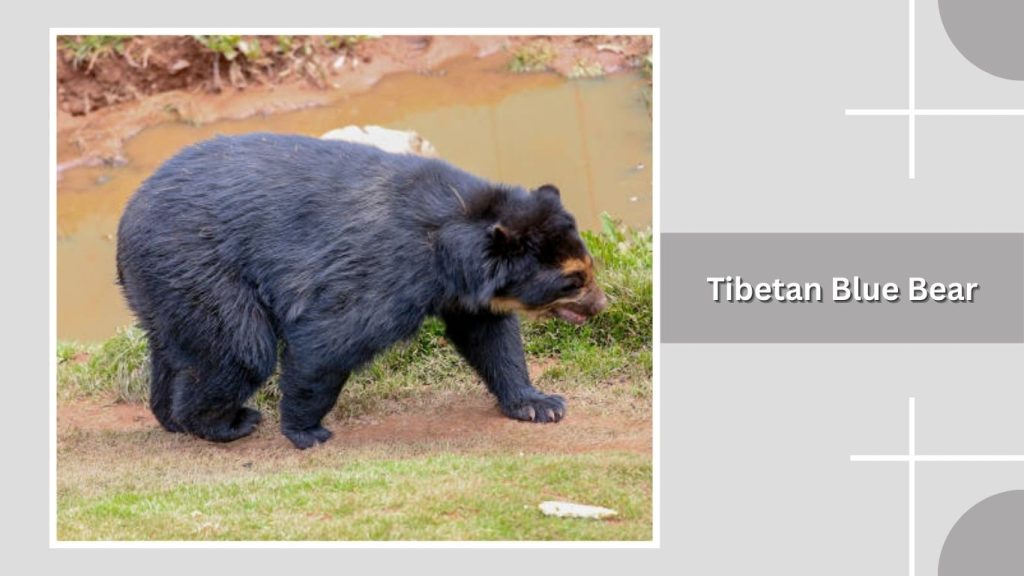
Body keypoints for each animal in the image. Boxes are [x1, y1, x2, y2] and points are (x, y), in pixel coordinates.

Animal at [116, 133, 607, 449]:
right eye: (572, 281)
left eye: (589, 269)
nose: (602, 305)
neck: (454, 239)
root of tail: (125, 219)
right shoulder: (391, 269)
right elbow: (329, 339)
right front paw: (305, 430)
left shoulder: (463, 292)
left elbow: (489, 338)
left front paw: (540, 405)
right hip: (199, 265)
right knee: (240, 348)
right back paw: (226, 423)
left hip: (165, 284)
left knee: (177, 349)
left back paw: (169, 417)